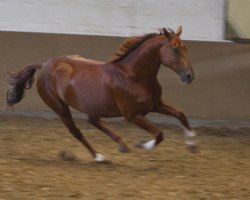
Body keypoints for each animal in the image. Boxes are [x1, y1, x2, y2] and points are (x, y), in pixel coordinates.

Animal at [5, 26, 196, 162]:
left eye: (185, 48)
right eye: (175, 50)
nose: (189, 76)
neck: (132, 76)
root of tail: (44, 65)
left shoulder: (156, 104)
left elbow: (181, 115)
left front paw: (192, 144)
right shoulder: (132, 115)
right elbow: (159, 134)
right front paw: (142, 144)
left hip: (91, 105)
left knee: (93, 120)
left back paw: (121, 146)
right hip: (59, 107)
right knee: (76, 131)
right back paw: (99, 157)